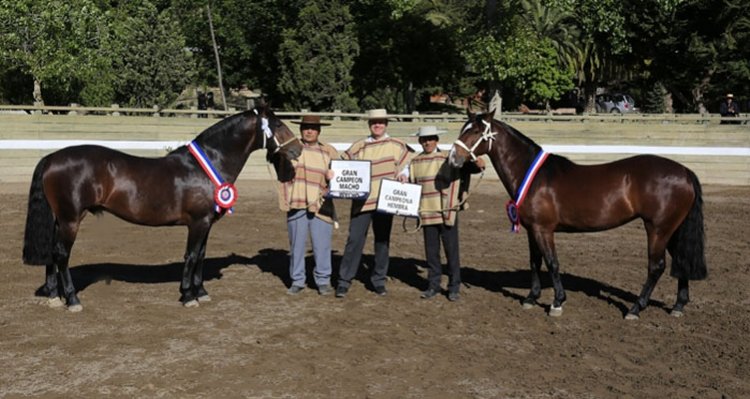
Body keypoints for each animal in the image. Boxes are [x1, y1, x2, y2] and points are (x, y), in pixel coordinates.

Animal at [22, 106, 302, 312]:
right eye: (277, 125)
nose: (298, 149)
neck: (206, 166)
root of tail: (52, 158)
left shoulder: (206, 223)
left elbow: (201, 255)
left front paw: (201, 292)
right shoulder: (198, 222)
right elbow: (191, 256)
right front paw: (188, 296)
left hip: (60, 219)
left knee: (52, 253)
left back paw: (54, 296)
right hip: (70, 219)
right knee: (61, 255)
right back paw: (72, 300)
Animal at [450, 111, 708, 320]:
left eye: (475, 131)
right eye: (463, 129)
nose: (454, 158)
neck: (533, 175)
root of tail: (684, 171)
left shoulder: (544, 229)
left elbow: (552, 262)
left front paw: (557, 302)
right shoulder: (532, 229)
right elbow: (535, 262)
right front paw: (531, 298)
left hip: (658, 229)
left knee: (656, 267)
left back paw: (635, 309)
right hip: (673, 230)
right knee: (681, 261)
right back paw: (678, 306)